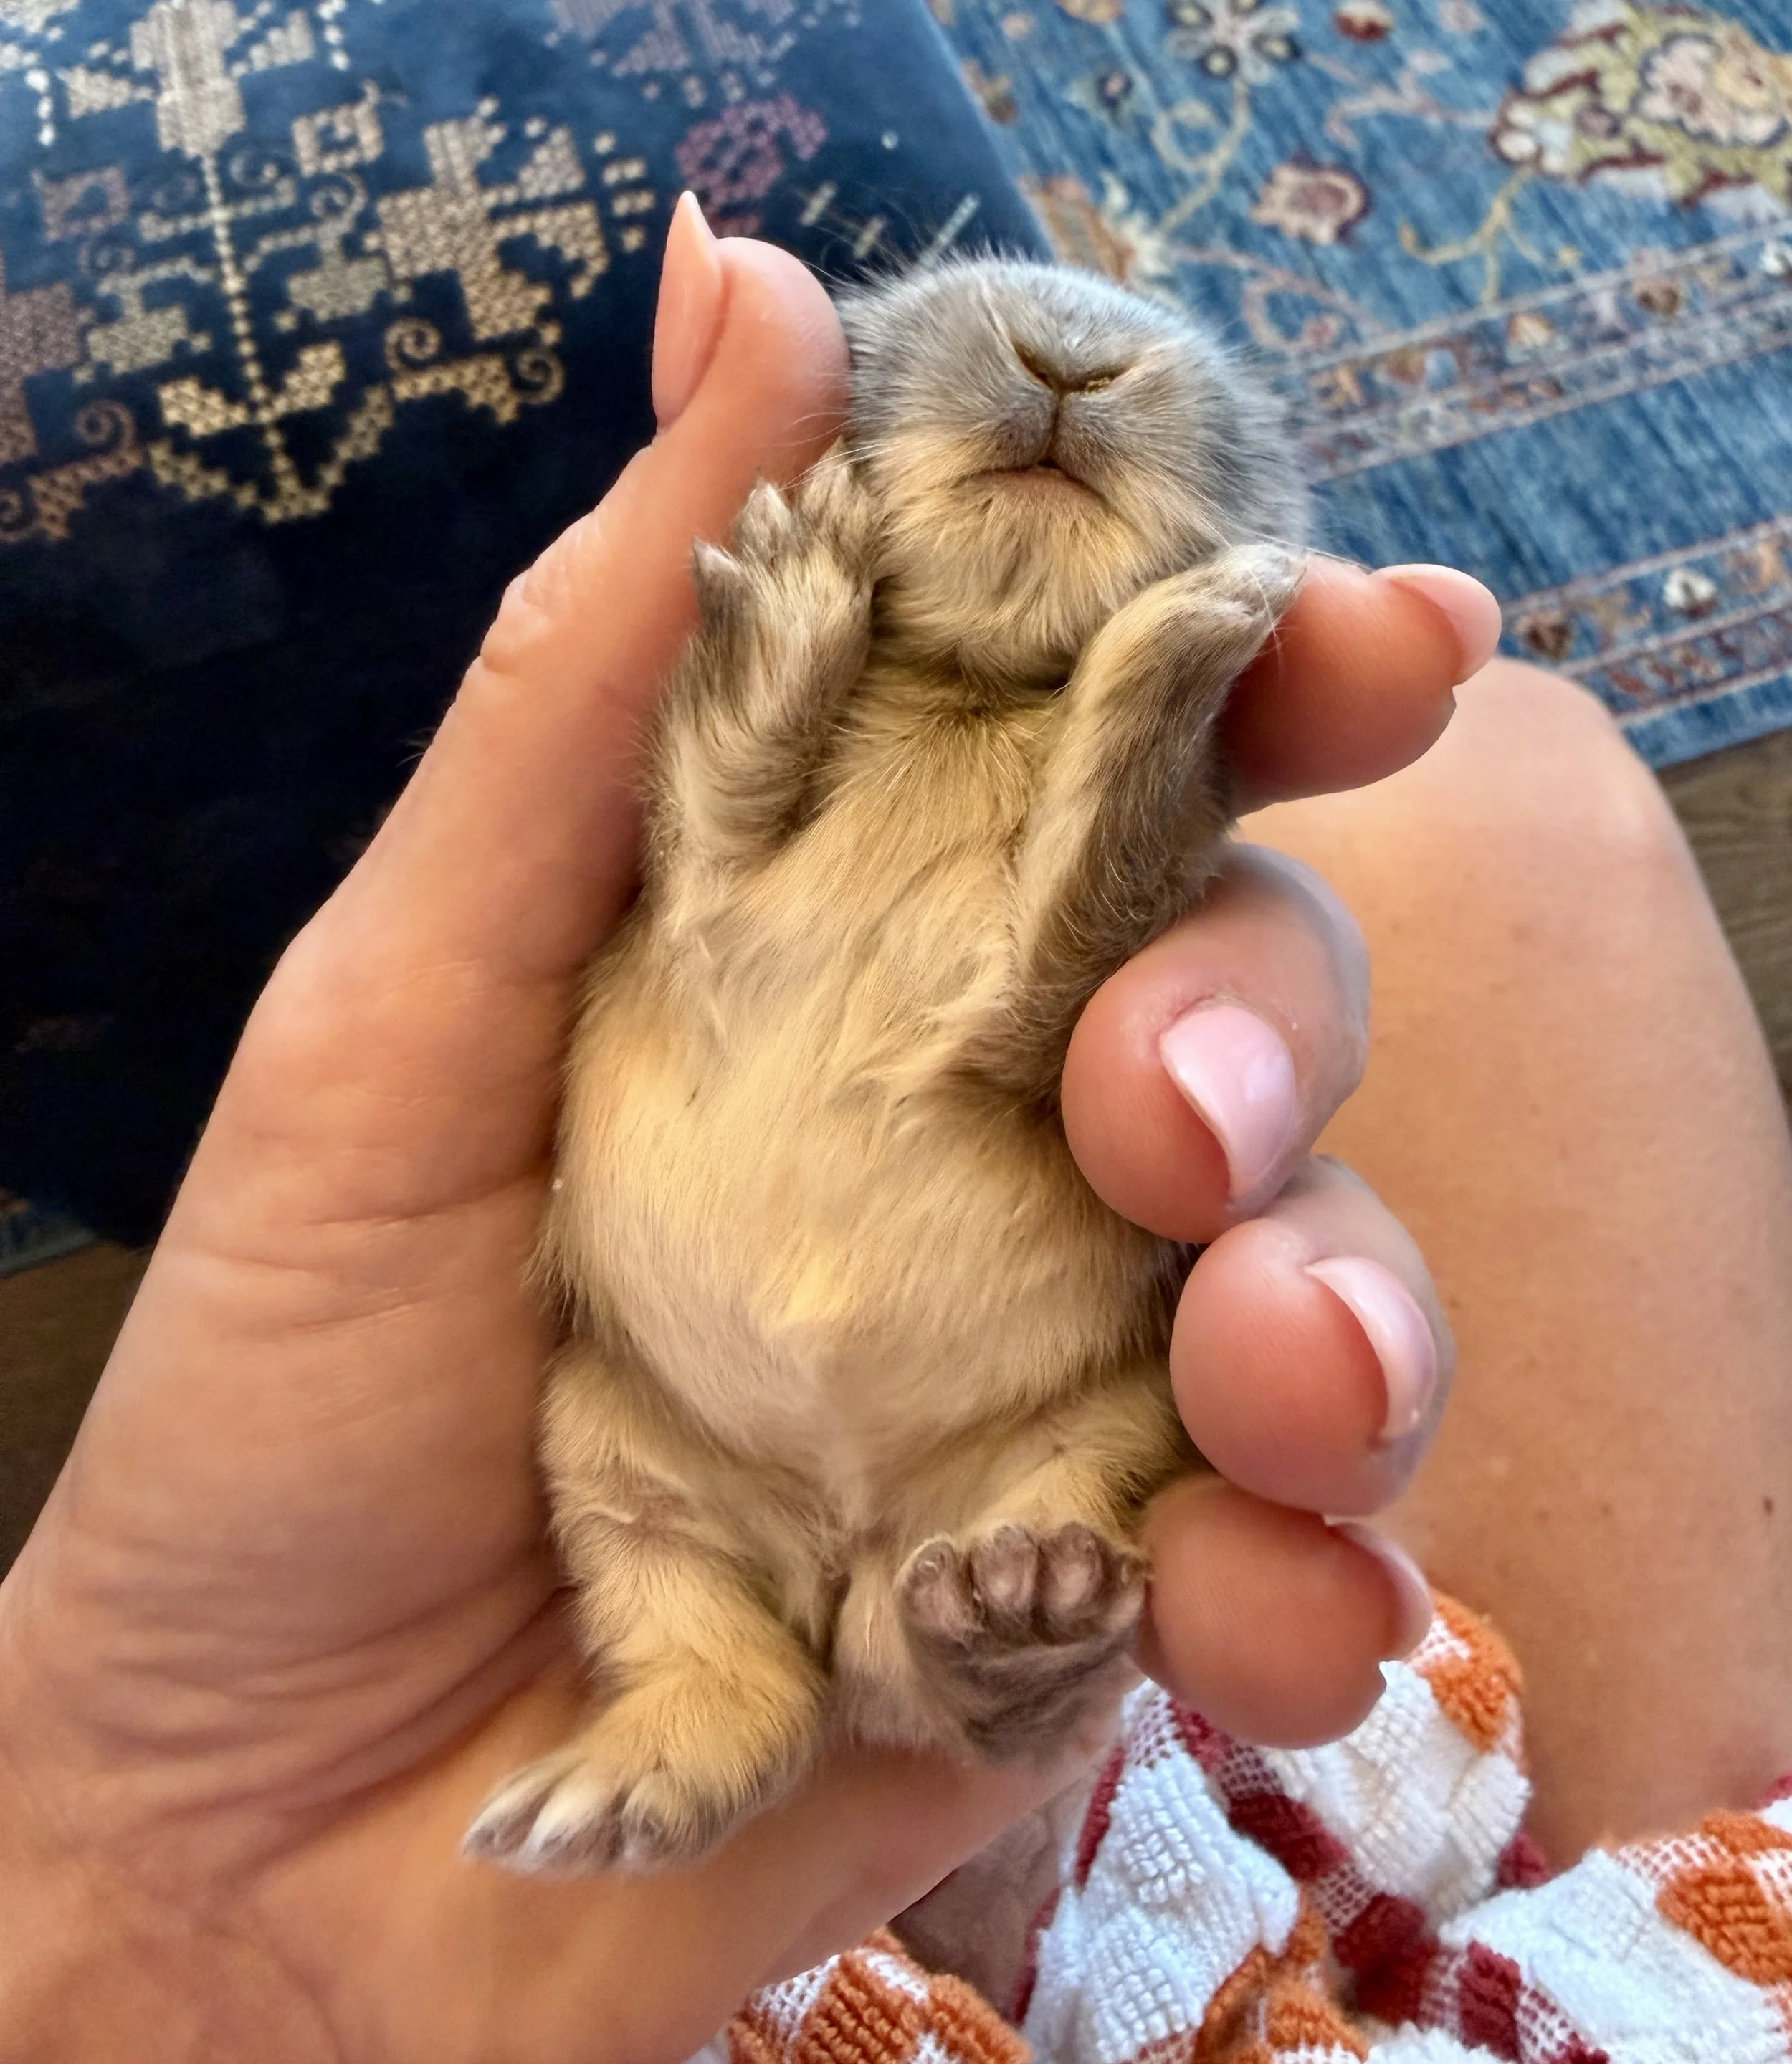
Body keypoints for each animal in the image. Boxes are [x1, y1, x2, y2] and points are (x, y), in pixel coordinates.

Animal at [465, 257, 1309, 1876]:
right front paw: (796, 579)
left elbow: (1077, 912)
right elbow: (717, 794)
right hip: (603, 1456)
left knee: (938, 1690)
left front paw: (1199, 626)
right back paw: (600, 1800)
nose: (1072, 356)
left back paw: (1016, 1610)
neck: (967, 689)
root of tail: (845, 1546)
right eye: (909, 290)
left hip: (1114, 1435)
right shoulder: (686, 897)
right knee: (743, 1682)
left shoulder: (1044, 1007)